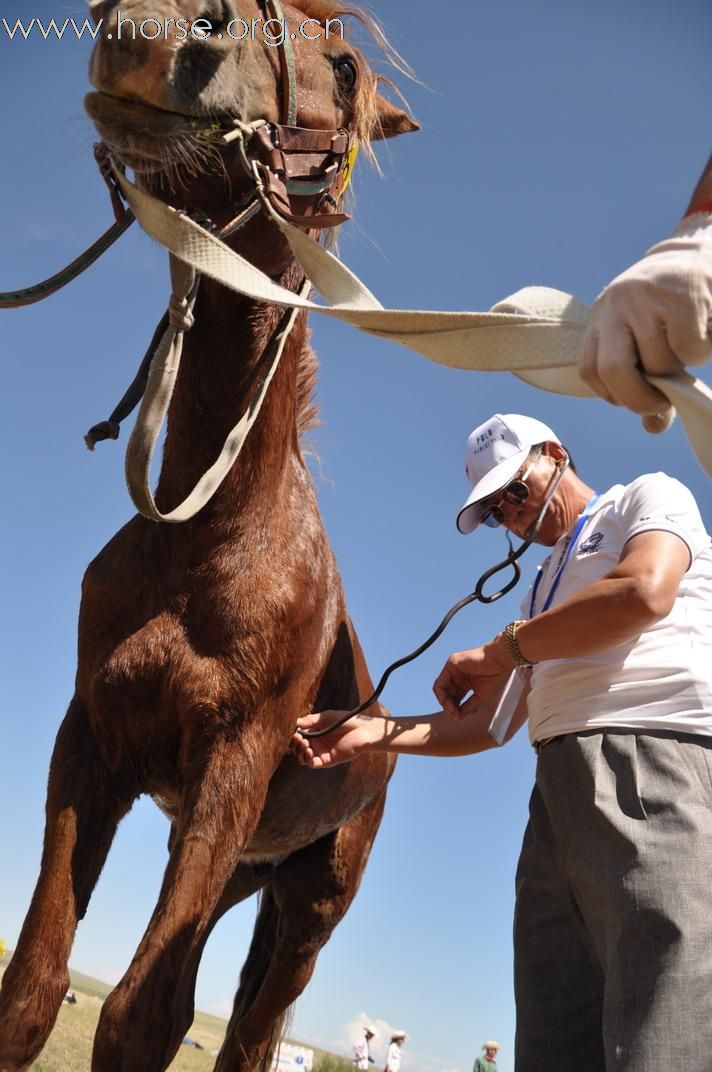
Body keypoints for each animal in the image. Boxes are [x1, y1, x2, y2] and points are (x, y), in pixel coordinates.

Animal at [0, 4, 418, 1067]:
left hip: (310, 904)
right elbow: (34, 988)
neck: (212, 539)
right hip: (239, 871)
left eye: (344, 66)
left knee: (252, 1025)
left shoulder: (229, 772)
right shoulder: (91, 745)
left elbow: (139, 1017)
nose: (158, 31)